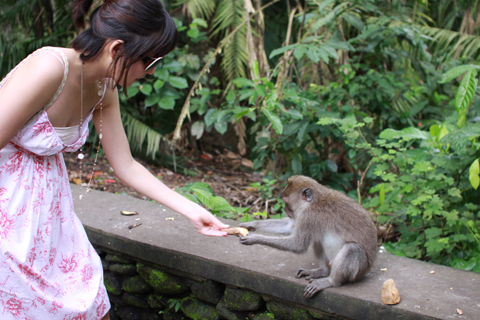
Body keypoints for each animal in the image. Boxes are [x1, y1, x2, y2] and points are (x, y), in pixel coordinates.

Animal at [238, 175, 376, 298]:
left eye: (287, 203)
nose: (286, 210)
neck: (314, 201)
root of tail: (368, 269)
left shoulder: (308, 217)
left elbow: (297, 245)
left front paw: (255, 238)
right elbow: (289, 226)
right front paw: (252, 224)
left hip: (358, 271)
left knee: (353, 248)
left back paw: (331, 281)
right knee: (318, 238)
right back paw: (323, 271)